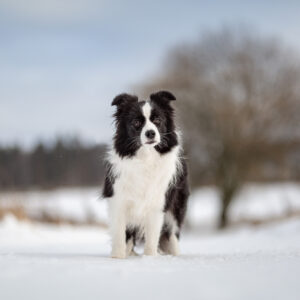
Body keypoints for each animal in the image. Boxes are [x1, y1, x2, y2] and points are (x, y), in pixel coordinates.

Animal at [102, 91, 189, 258]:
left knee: (172, 232)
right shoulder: (118, 199)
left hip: (176, 207)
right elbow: (120, 233)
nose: (150, 133)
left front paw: (149, 258)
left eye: (157, 120)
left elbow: (153, 236)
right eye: (136, 122)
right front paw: (118, 257)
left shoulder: (158, 202)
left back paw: (175, 254)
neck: (145, 158)